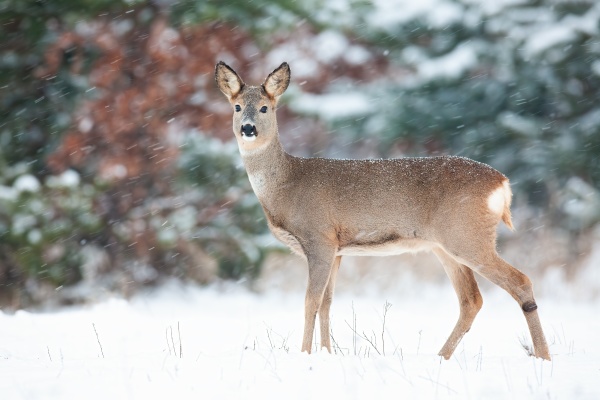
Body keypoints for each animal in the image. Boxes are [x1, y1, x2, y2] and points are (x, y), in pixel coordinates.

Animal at [213, 61, 552, 360]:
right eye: (237, 107)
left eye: (265, 108)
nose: (248, 129)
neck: (285, 185)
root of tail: (502, 183)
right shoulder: (337, 248)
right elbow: (327, 303)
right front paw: (326, 353)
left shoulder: (319, 237)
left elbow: (311, 301)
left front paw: (305, 354)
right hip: (445, 245)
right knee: (471, 299)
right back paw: (440, 357)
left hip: (467, 236)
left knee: (520, 281)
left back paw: (544, 356)